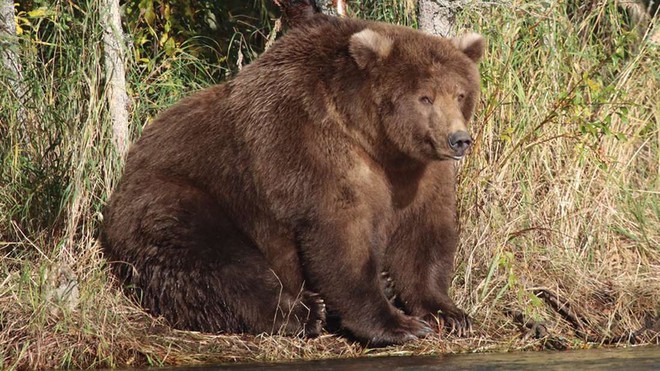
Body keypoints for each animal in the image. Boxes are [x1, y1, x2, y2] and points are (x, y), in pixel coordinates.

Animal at [103, 13, 484, 348]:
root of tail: (124, 175)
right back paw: (305, 311)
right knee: (218, 263)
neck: (374, 139)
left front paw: (449, 313)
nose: (458, 140)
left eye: (460, 94)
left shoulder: (418, 172)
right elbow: (341, 236)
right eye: (425, 97)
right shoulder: (309, 145)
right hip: (181, 198)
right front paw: (398, 324)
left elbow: (424, 233)